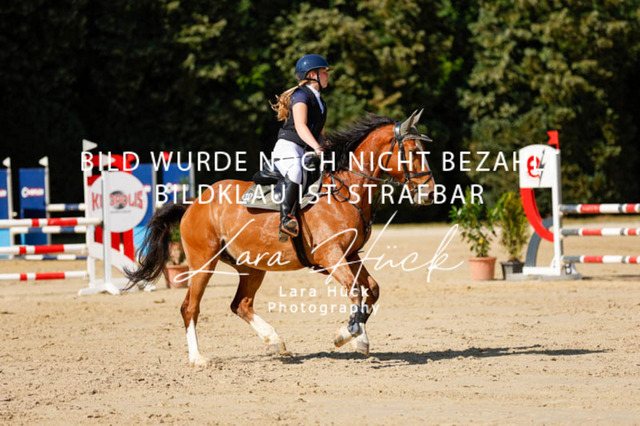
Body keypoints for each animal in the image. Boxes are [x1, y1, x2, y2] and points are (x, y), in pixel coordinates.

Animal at [126, 110, 435, 366]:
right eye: (412, 152)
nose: (430, 193)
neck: (346, 190)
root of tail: (194, 203)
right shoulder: (331, 256)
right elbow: (356, 290)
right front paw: (350, 335)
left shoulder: (349, 254)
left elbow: (371, 289)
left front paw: (355, 335)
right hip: (203, 263)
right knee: (190, 306)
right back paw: (198, 358)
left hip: (251, 266)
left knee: (241, 304)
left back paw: (274, 341)